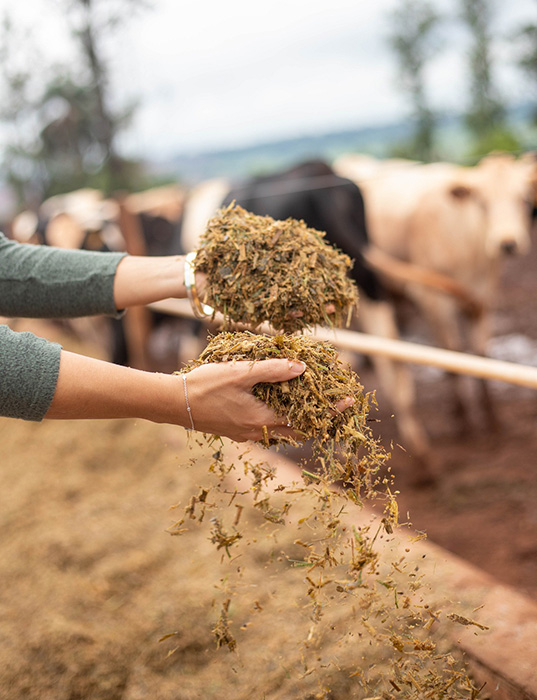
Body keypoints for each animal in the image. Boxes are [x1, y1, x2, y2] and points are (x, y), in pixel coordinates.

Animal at [336, 150, 536, 430]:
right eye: (482, 203)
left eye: (524, 199)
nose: (507, 243)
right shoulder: (431, 300)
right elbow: (452, 358)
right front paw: (462, 418)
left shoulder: (483, 299)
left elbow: (480, 355)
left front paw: (491, 419)